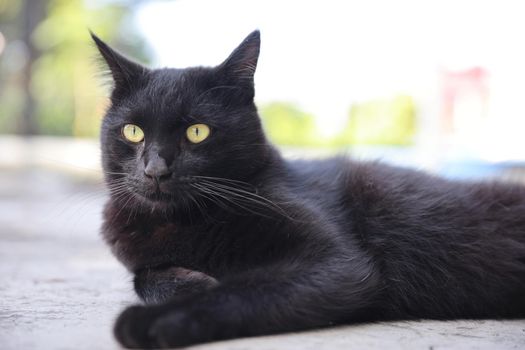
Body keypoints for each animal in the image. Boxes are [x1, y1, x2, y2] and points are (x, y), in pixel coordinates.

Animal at [91, 31, 524, 348]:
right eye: (133, 131)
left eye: (198, 132)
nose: (155, 170)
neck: (182, 221)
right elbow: (144, 276)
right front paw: (190, 281)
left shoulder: (337, 263)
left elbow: (241, 290)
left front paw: (151, 320)